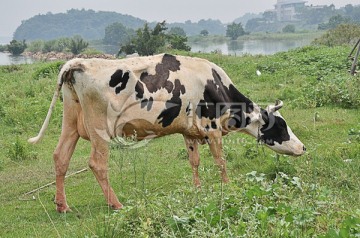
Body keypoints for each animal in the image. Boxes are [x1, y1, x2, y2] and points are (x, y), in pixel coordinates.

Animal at [28, 53, 306, 212]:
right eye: (281, 125)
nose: (303, 147)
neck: (215, 84)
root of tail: (80, 63)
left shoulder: (190, 132)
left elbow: (194, 161)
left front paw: (198, 189)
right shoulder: (212, 129)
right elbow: (220, 162)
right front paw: (228, 187)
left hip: (71, 123)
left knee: (61, 157)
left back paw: (62, 205)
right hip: (99, 130)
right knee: (97, 164)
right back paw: (115, 204)